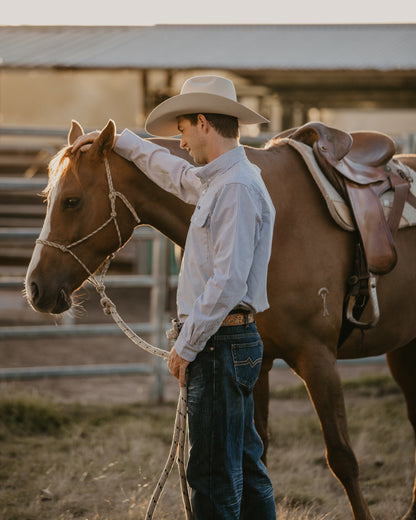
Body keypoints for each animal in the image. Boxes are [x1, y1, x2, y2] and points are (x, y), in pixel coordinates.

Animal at [25, 119, 416, 520]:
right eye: (50, 199)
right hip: (404, 349)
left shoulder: (318, 358)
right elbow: (257, 457)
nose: (34, 288)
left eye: (72, 200)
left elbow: (342, 458)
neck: (281, 216)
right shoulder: (258, 363)